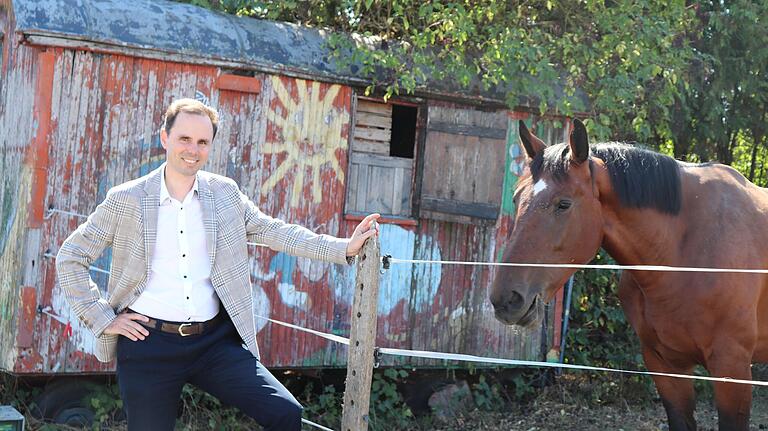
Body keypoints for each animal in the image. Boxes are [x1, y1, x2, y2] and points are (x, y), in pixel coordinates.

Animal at [492, 120, 768, 431]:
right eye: (517, 198)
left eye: (563, 204)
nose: (506, 299)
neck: (685, 254)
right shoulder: (665, 365)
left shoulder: (731, 367)